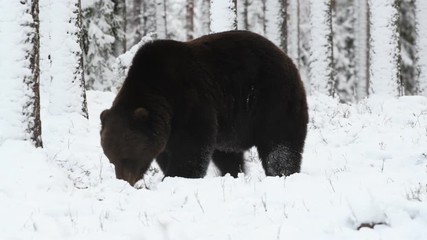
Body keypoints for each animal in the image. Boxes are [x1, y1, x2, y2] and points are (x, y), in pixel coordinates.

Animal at [100, 30, 308, 186]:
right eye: (111, 157)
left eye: (127, 156)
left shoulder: (190, 100)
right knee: (228, 155)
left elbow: (191, 146)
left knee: (280, 145)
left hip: (272, 100)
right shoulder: (168, 127)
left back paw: (282, 174)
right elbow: (167, 153)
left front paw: (176, 176)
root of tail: (287, 58)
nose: (125, 181)